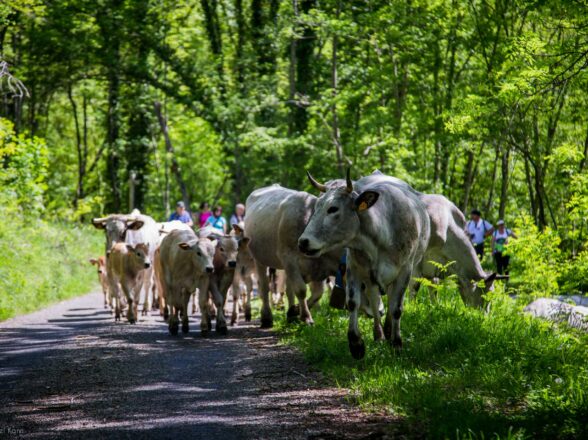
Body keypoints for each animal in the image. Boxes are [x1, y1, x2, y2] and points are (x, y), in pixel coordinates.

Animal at [298, 170, 432, 360]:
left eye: (333, 209)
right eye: (316, 207)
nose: (303, 242)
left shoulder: (405, 271)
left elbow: (396, 308)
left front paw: (397, 344)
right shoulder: (354, 268)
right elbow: (353, 302)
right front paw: (356, 344)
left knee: (390, 301)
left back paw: (388, 331)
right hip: (370, 278)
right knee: (375, 303)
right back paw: (379, 335)